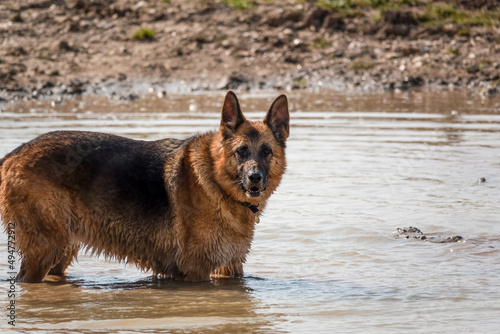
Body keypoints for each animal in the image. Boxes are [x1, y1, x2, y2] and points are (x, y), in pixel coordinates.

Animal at [0, 90, 290, 282]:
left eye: (266, 151)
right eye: (241, 151)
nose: (255, 178)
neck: (217, 183)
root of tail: (13, 154)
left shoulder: (230, 268)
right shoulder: (196, 271)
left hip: (62, 251)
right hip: (45, 251)